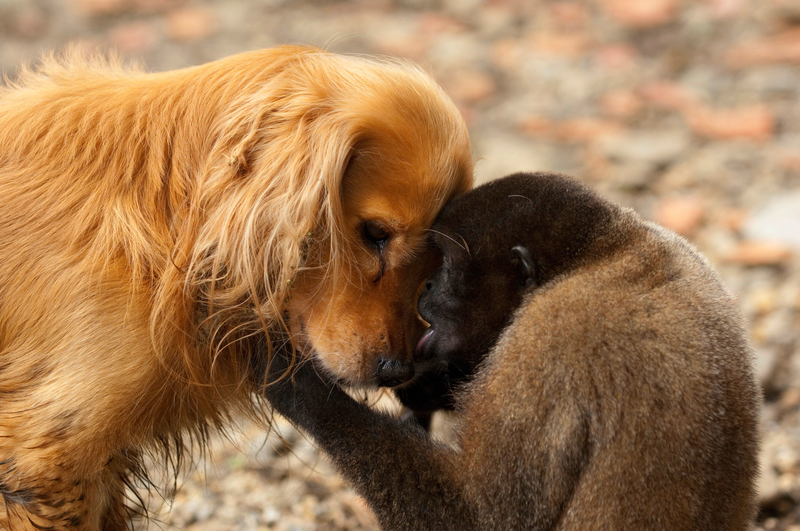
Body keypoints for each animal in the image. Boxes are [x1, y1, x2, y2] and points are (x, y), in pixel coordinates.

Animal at [260, 174, 764, 531]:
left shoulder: (547, 343)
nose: (427, 287)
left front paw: (283, 375)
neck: (602, 253)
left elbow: (481, 516)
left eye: (447, 267)